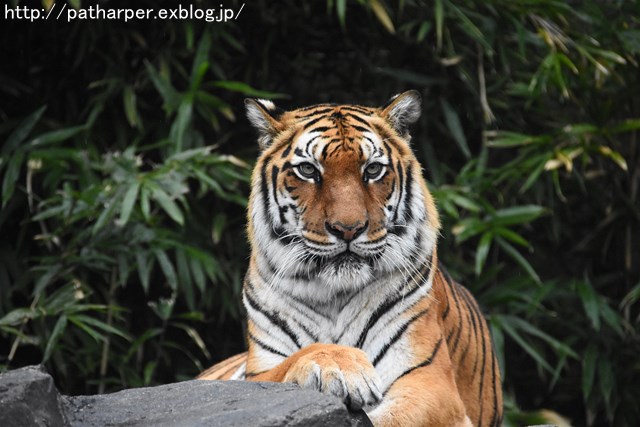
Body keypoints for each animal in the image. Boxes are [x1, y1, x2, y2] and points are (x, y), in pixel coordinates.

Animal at [198, 91, 502, 427]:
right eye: (308, 170)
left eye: (372, 170)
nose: (348, 228)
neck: (333, 295)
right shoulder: (257, 372)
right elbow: (293, 361)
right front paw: (342, 366)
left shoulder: (432, 384)